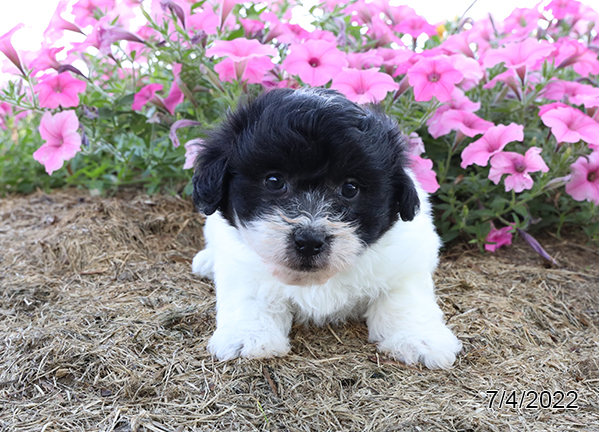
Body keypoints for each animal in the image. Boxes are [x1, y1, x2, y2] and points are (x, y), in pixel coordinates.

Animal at [190, 88, 462, 368]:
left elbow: (405, 299)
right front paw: (249, 336)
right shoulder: (242, 264)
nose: (309, 241)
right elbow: (250, 297)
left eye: (350, 188)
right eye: (274, 181)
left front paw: (418, 339)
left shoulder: (406, 262)